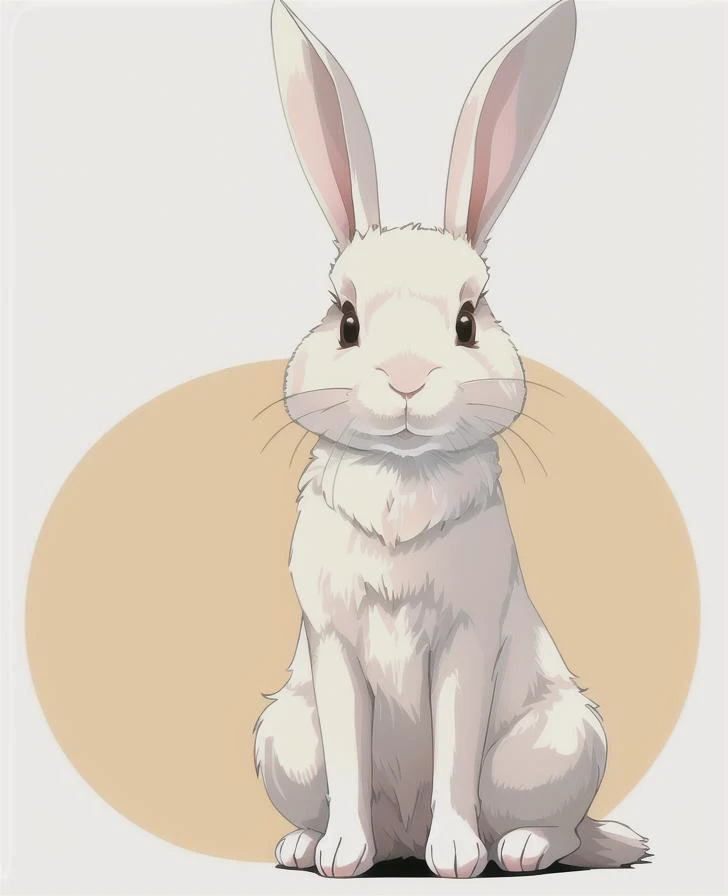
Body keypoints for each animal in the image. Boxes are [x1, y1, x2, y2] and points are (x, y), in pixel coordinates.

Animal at [254, 0, 649, 879]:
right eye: (347, 321)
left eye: (468, 321)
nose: (406, 378)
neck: (402, 476)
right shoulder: (332, 646)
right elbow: (350, 752)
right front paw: (342, 857)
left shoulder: (467, 640)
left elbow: (454, 754)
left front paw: (459, 858)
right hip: (284, 737)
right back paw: (307, 845)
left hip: (560, 744)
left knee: (560, 828)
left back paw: (519, 850)